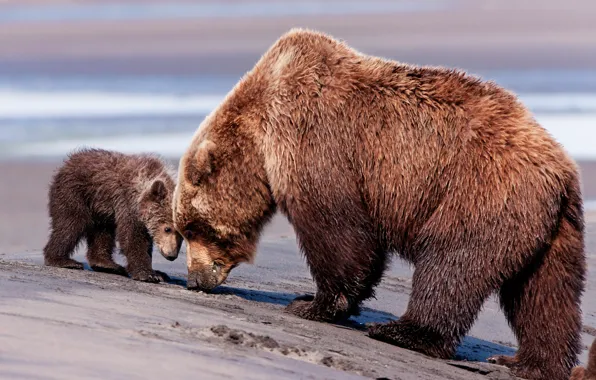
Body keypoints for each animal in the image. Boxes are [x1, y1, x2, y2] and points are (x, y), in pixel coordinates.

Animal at [172, 28, 588, 378]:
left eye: (192, 227)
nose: (194, 280)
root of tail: (561, 170)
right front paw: (318, 299)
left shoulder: (316, 140)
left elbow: (339, 231)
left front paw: (312, 303)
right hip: (553, 229)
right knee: (545, 296)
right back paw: (526, 362)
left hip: (480, 190)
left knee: (451, 261)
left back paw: (402, 331)